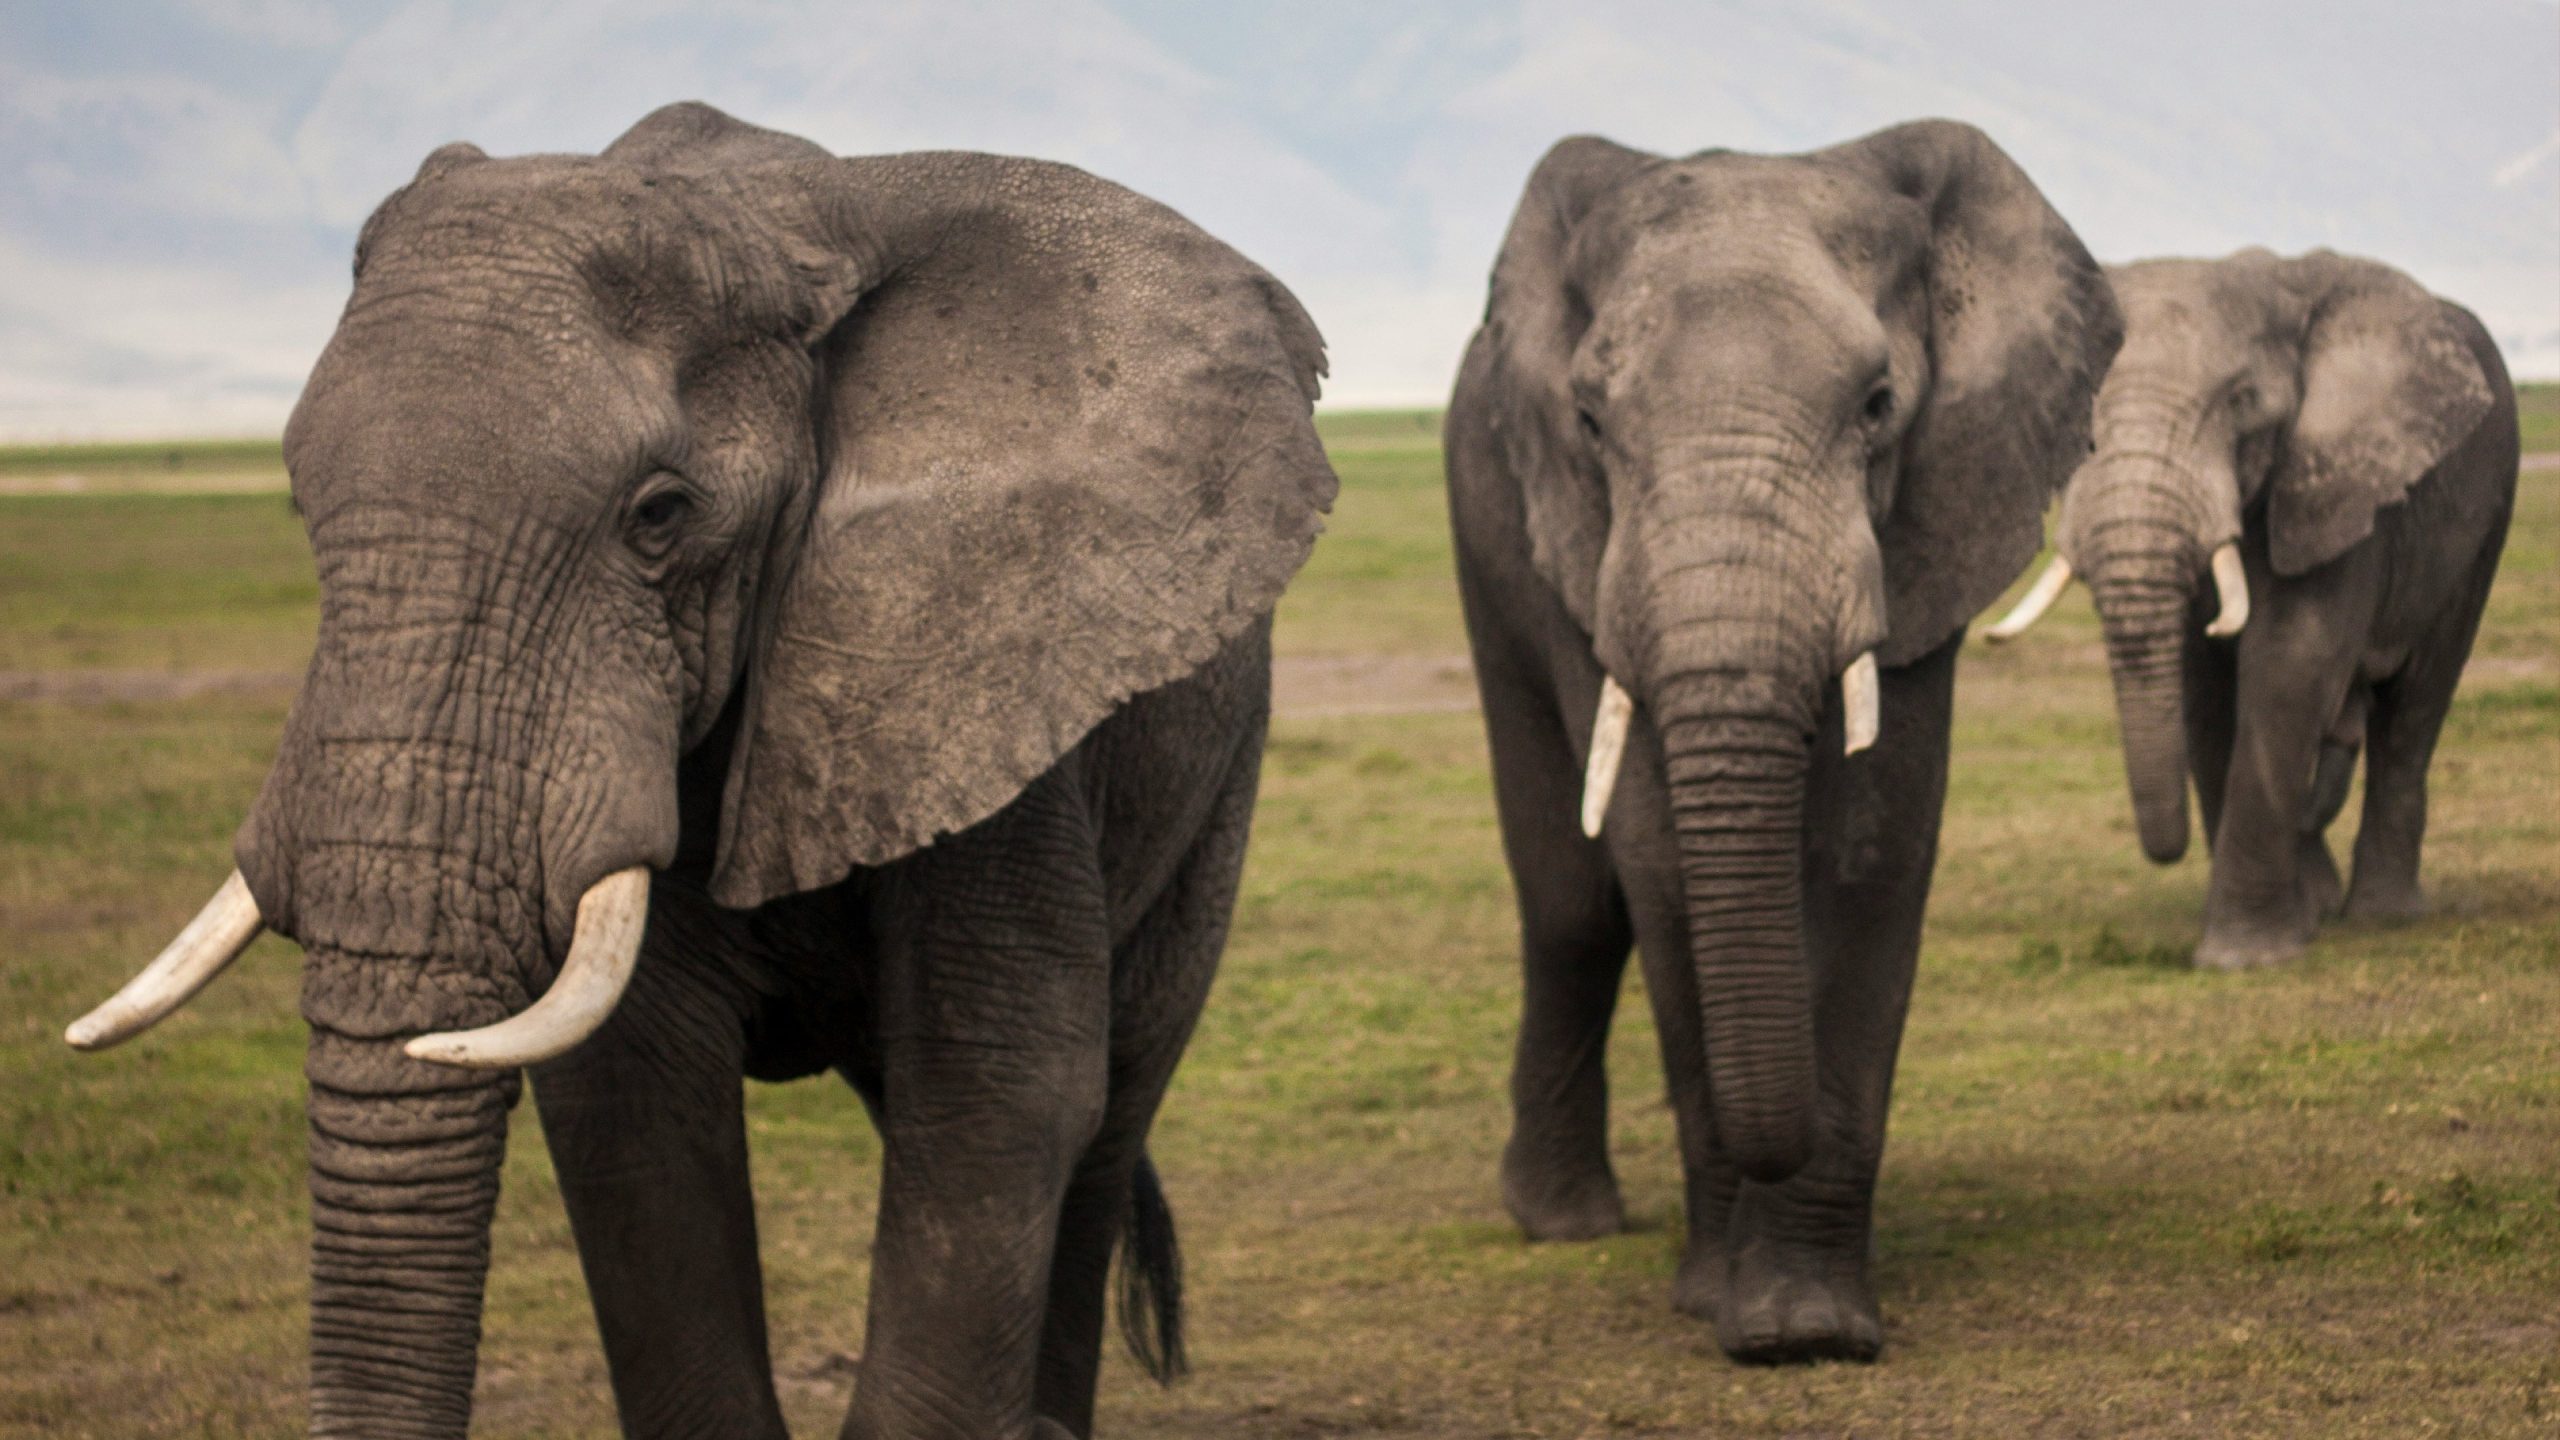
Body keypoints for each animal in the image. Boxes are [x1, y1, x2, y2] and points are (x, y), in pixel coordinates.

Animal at [62, 103, 1337, 1440]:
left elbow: (999, 1097)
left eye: (659, 516)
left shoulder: (986, 663)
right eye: (299, 500)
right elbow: (635, 1109)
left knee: (1110, 1107)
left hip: (1217, 786)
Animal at [1445, 120, 2121, 1362]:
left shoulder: (1930, 517)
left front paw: (1805, 1328)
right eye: (1589, 424)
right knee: (1571, 901)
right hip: (1486, 526)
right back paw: (1561, 1223)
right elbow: (1659, 862)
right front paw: (1724, 1306)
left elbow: (1870, 850)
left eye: (1878, 404)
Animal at [1983, 249, 2517, 970]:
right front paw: (2289, 925)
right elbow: (2205, 692)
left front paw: (2243, 958)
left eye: (2241, 404)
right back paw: (2323, 904)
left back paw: (2382, 915)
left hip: (2486, 519)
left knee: (2417, 706)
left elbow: (2291, 662)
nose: (2167, 849)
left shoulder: (2336, 484)